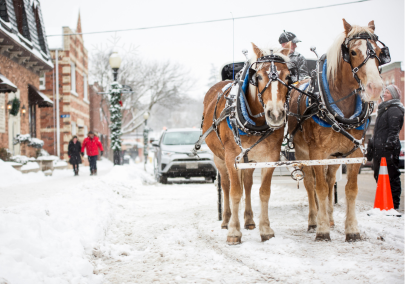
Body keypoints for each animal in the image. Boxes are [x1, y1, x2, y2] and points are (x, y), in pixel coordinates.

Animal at [201, 43, 290, 245]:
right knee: (226, 185)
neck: (254, 124)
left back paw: (249, 220)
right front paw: (234, 231)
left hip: (249, 159)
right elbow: (234, 192)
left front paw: (265, 229)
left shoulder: (270, 157)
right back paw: (226, 220)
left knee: (248, 185)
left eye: (288, 76)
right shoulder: (231, 158)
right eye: (259, 76)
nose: (275, 115)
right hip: (219, 158)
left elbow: (263, 191)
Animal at [288, 19, 386, 242]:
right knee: (310, 184)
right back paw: (314, 220)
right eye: (353, 52)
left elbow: (350, 189)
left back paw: (330, 219)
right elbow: (320, 188)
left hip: (334, 155)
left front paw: (352, 230)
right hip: (303, 152)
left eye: (378, 51)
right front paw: (322, 229)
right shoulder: (316, 153)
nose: (375, 88)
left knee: (330, 179)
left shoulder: (355, 152)